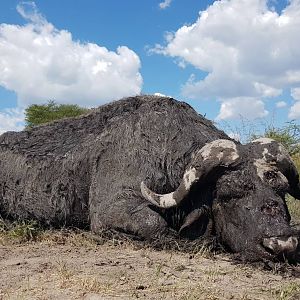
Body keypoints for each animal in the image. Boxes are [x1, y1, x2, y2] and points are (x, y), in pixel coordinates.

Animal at [0, 96, 298, 260]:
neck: (162, 145)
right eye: (228, 193)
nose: (282, 243)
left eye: (281, 189)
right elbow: (156, 226)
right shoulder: (111, 210)